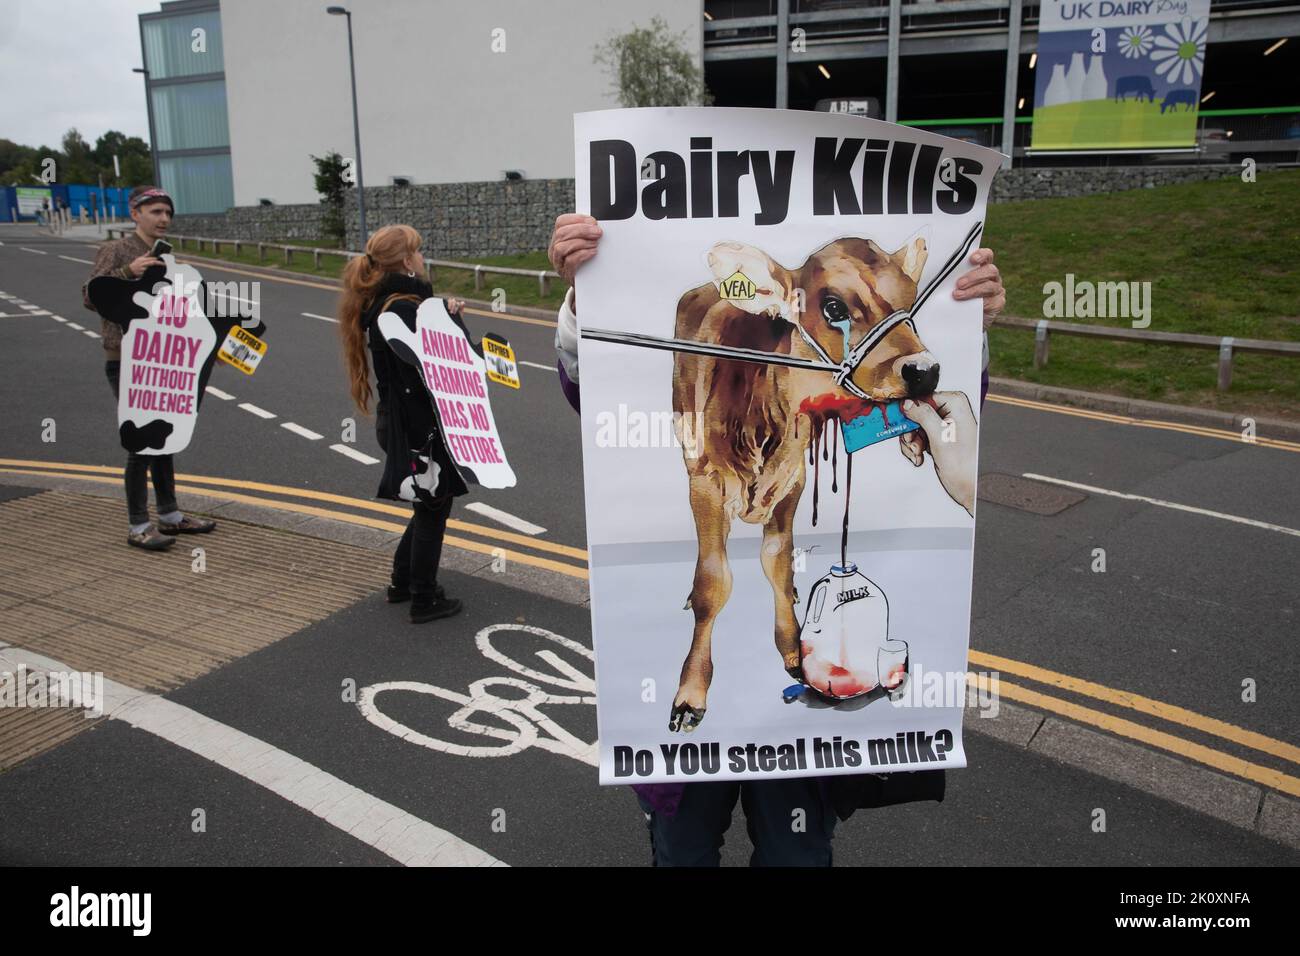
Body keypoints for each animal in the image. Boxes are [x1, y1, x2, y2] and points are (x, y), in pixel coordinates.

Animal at [670, 238, 935, 733]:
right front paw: (691, 694)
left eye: (911, 302)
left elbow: (777, 561)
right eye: (834, 307)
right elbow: (713, 582)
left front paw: (794, 649)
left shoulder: (793, 481)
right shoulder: (705, 483)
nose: (926, 371)